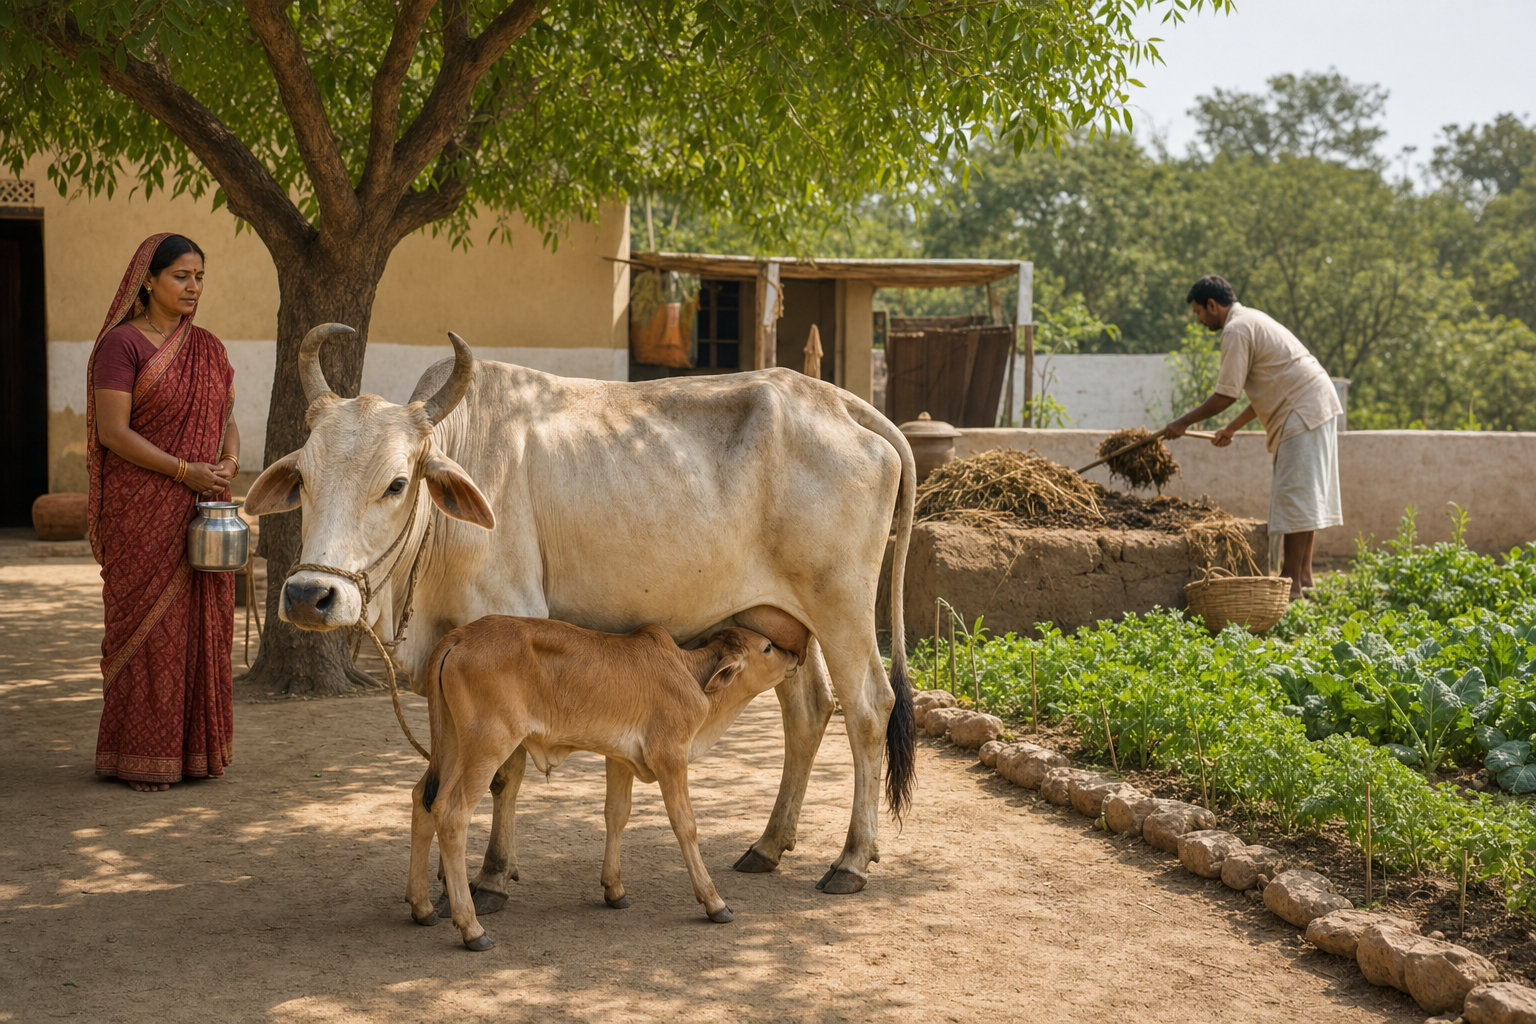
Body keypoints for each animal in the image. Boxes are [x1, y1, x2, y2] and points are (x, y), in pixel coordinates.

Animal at [245, 323, 916, 901]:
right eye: (302, 479)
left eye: (395, 483)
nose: (308, 596)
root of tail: (841, 403)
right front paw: (447, 876)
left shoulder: (507, 623)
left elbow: (505, 773)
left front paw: (491, 876)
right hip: (785, 619)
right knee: (808, 713)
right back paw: (769, 846)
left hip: (842, 609)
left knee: (867, 710)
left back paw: (852, 860)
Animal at [409, 619, 801, 950]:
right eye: (768, 648)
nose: (796, 655)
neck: (690, 676)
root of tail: (459, 636)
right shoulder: (670, 756)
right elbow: (685, 825)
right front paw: (714, 901)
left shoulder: (620, 759)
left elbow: (616, 814)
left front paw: (614, 889)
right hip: (487, 745)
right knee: (451, 812)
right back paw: (471, 928)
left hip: (452, 743)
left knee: (422, 800)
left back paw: (422, 907)